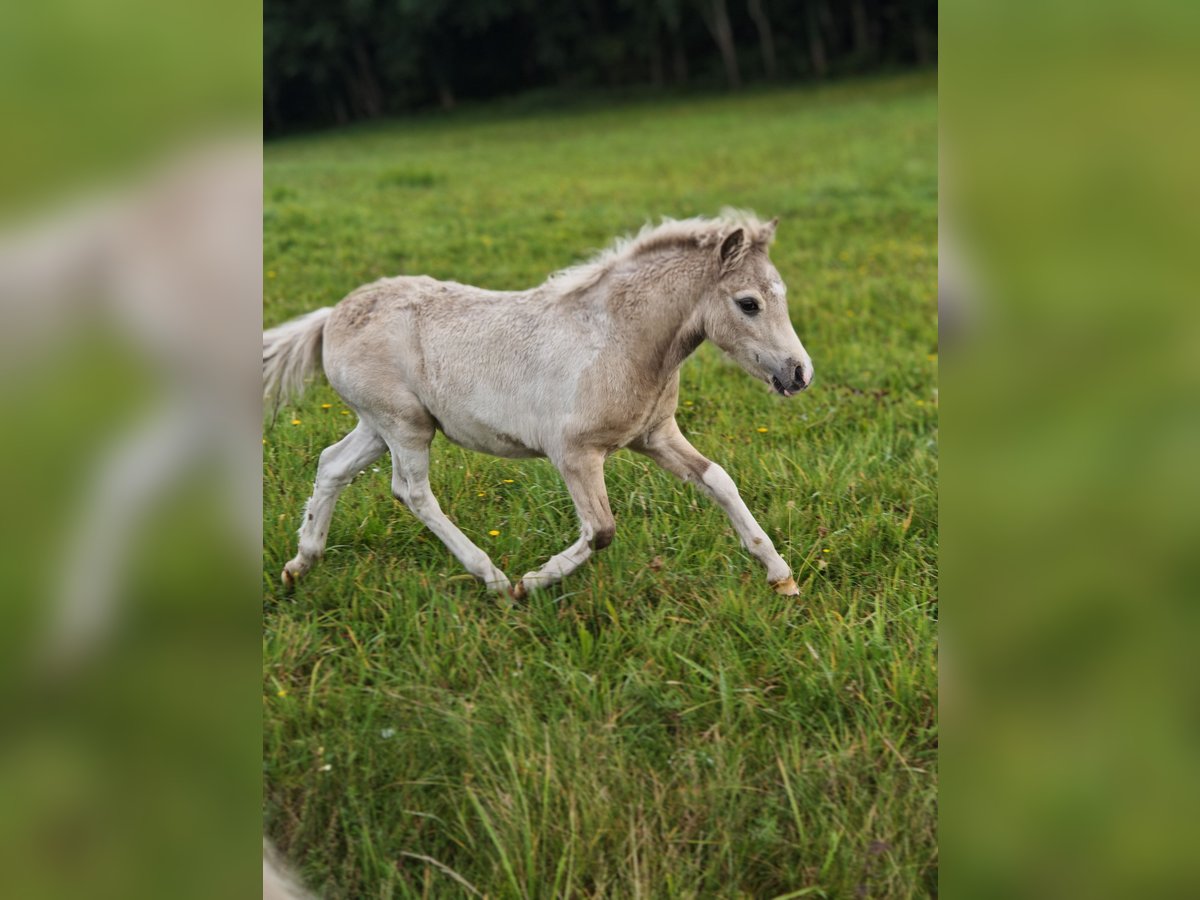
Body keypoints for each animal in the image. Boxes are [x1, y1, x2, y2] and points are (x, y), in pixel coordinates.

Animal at [263, 212, 813, 599]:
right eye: (748, 303)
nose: (800, 373)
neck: (619, 338)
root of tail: (332, 315)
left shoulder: (656, 436)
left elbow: (719, 481)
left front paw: (781, 576)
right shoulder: (574, 454)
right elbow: (601, 530)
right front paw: (532, 582)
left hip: (378, 427)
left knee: (332, 464)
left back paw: (299, 565)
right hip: (404, 425)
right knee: (412, 492)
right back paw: (492, 577)